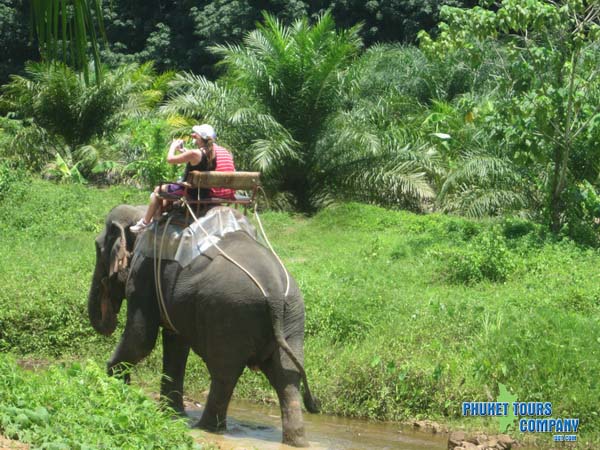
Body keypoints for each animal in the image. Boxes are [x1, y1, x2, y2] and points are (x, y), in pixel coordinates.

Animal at [87, 204, 318, 446]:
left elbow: (141, 339)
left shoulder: (142, 275)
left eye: (98, 248)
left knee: (224, 374)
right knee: (287, 377)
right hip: (293, 316)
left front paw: (113, 388)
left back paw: (205, 428)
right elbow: (175, 343)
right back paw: (296, 441)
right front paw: (172, 415)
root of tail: (273, 291)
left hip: (230, 314)